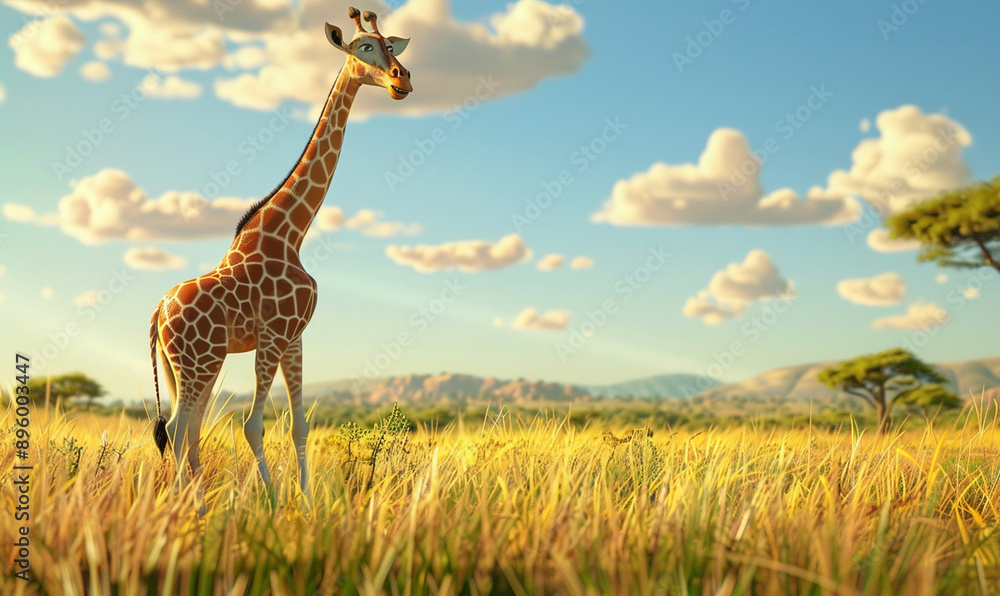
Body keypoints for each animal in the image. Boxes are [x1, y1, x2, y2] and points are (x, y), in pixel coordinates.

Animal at [149, 6, 412, 508]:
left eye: (392, 44)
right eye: (364, 47)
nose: (402, 79)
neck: (290, 233)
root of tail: (157, 314)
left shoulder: (295, 337)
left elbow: (300, 425)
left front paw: (306, 503)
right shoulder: (272, 334)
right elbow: (254, 425)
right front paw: (271, 503)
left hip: (192, 364)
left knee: (188, 427)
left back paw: (197, 502)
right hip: (198, 360)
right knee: (174, 427)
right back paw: (184, 505)